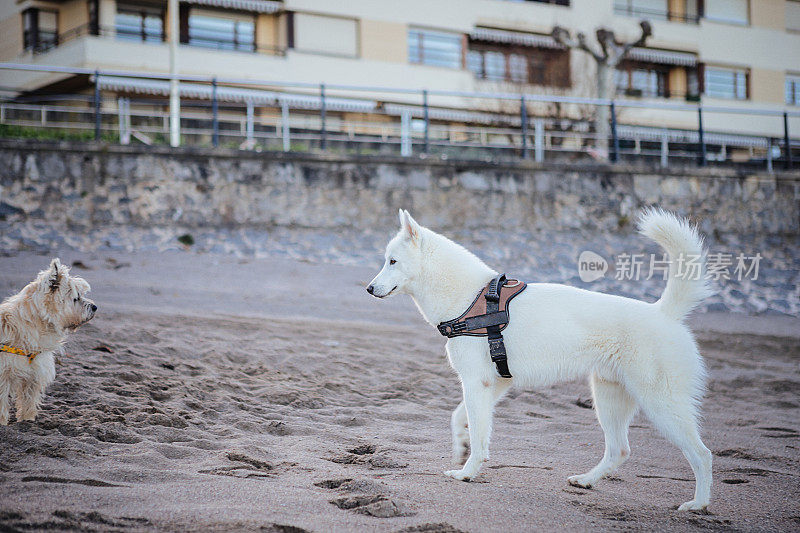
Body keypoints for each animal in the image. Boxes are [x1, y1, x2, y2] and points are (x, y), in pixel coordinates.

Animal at [368, 208, 712, 512]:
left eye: (392, 261)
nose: (369, 288)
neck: (470, 299)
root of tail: (664, 313)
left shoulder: (477, 384)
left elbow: (478, 434)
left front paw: (467, 473)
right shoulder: (493, 385)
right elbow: (460, 419)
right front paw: (461, 448)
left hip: (661, 405)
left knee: (702, 454)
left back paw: (698, 504)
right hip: (608, 399)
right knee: (620, 450)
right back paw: (586, 480)